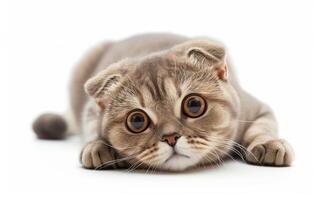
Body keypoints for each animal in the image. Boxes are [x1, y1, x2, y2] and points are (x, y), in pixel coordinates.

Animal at [32, 33, 296, 171]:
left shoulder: (258, 108)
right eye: (137, 121)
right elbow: (90, 130)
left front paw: (269, 143)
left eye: (194, 105)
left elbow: (262, 128)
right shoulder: (90, 112)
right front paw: (97, 146)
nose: (170, 137)